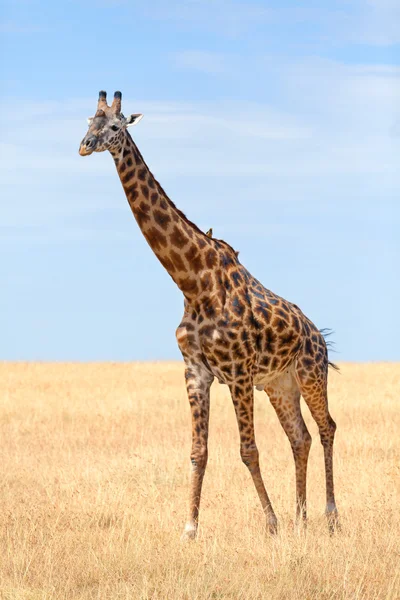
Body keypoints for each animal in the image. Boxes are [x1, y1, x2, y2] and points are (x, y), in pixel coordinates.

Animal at [79, 90, 340, 540]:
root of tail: (318, 335)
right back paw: (301, 518)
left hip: (310, 373)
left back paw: (330, 516)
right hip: (279, 385)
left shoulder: (236, 372)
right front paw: (190, 528)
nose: (84, 145)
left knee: (327, 429)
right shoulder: (196, 371)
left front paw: (270, 523)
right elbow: (198, 451)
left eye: (114, 127)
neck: (192, 280)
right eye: (87, 122)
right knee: (300, 437)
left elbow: (248, 450)